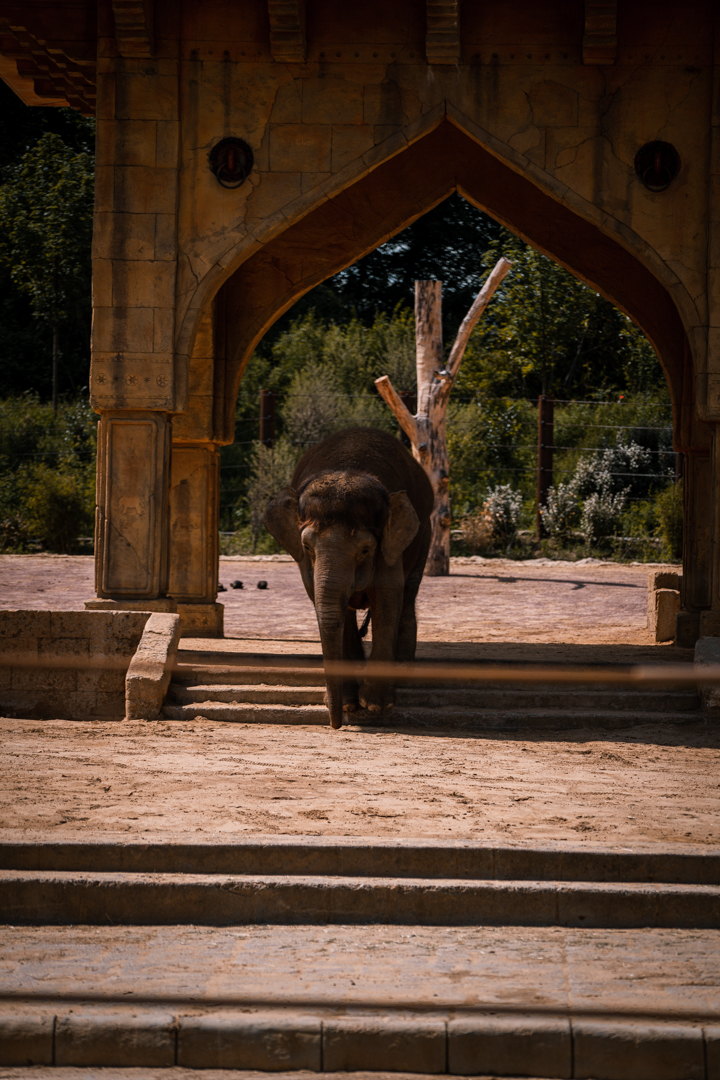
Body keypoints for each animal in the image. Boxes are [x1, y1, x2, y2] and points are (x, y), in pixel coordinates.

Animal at [264, 428, 433, 729]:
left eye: (365, 550)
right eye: (307, 547)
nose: (335, 724)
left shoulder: (389, 545)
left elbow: (388, 598)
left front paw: (376, 705)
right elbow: (327, 606)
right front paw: (347, 703)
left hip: (424, 532)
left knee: (409, 594)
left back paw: (403, 671)